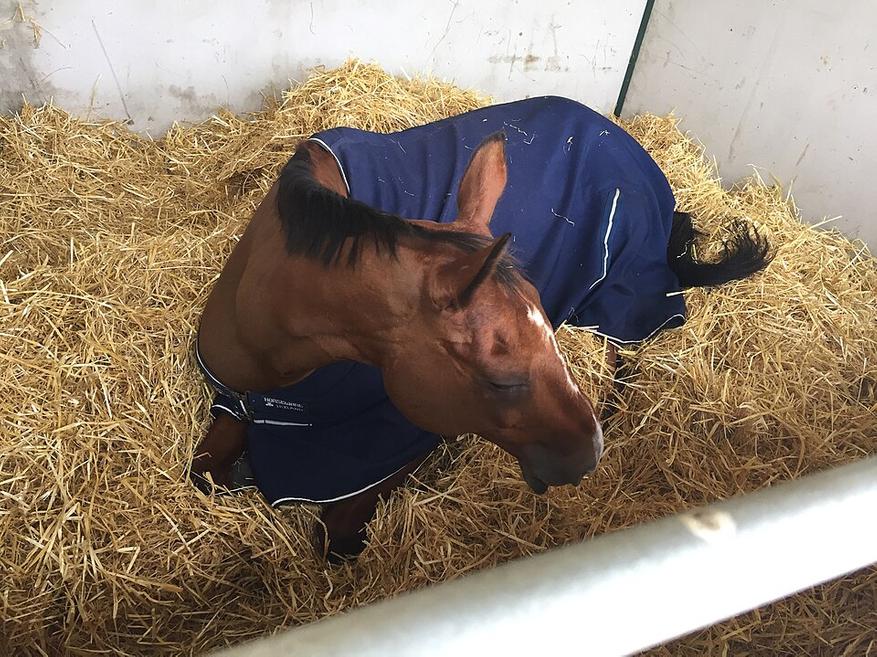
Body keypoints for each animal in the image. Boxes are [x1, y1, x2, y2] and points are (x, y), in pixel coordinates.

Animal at [192, 96, 771, 558]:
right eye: (500, 380)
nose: (588, 456)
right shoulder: (233, 395)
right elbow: (206, 474)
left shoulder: (398, 433)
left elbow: (338, 531)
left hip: (624, 296)